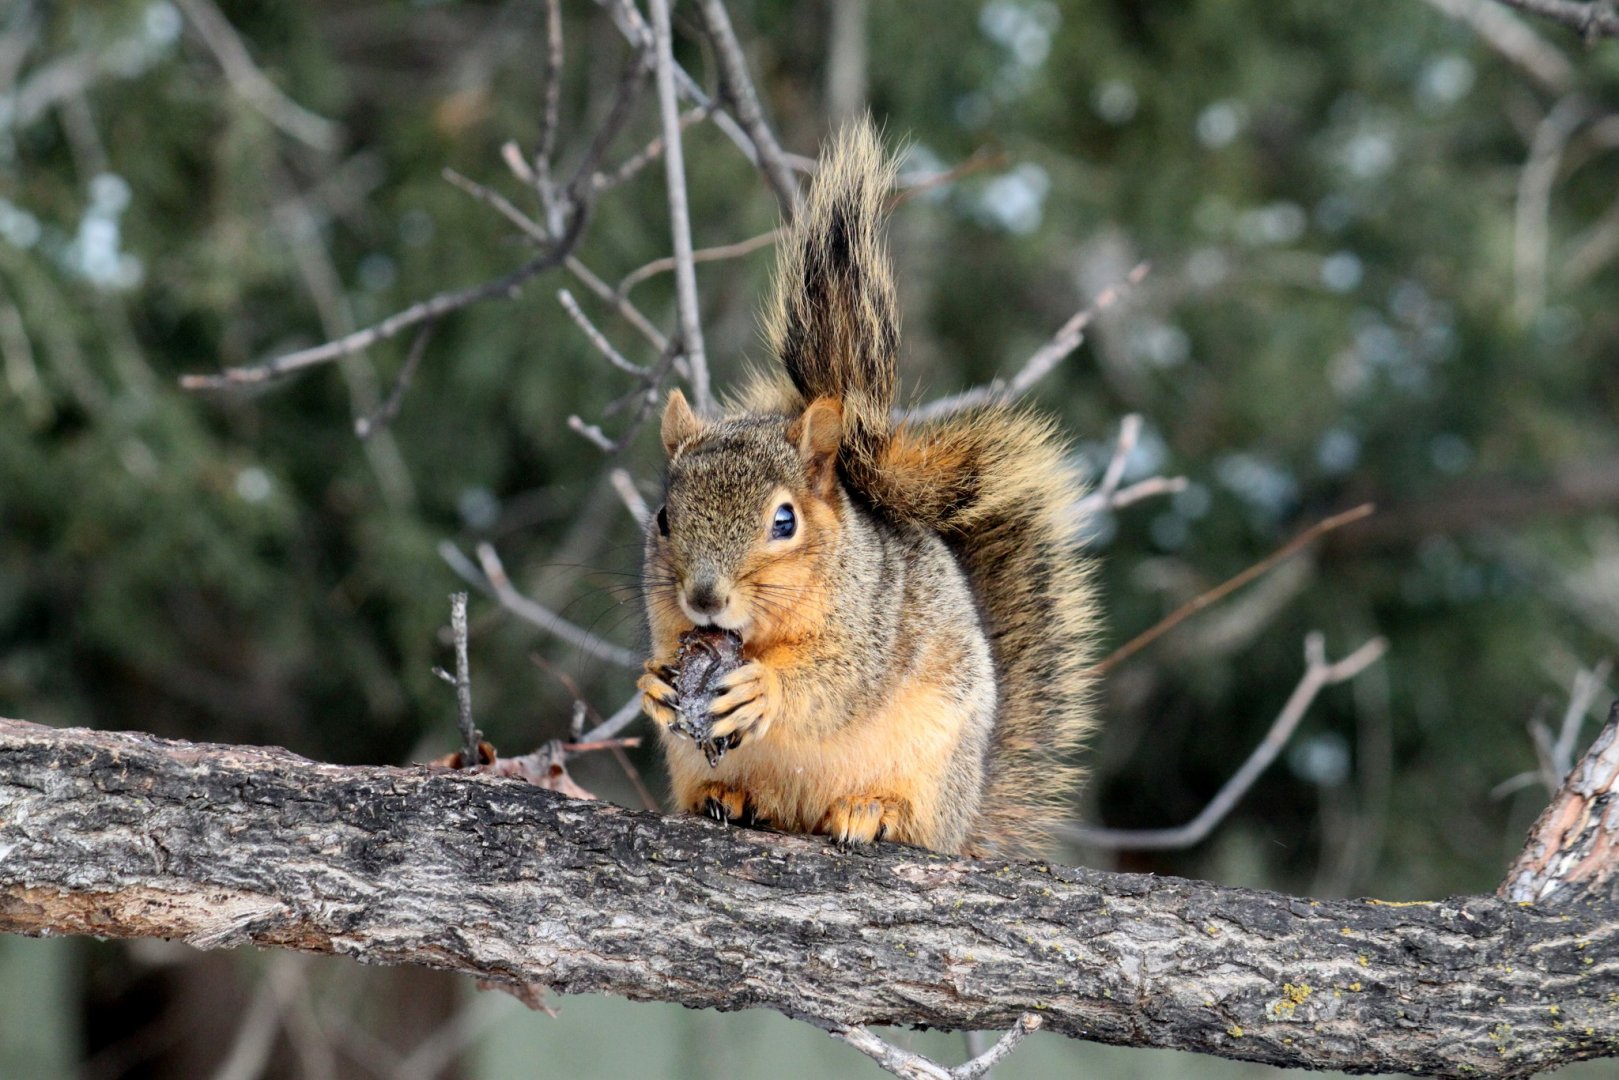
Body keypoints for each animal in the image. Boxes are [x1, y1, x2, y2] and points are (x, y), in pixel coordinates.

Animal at [638, 121, 1097, 860]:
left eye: (785, 521)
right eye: (661, 519)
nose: (703, 598)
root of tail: (965, 820)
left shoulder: (870, 626)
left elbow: (835, 683)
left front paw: (763, 689)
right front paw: (653, 684)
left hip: (932, 759)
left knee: (909, 817)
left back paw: (871, 810)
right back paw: (728, 796)